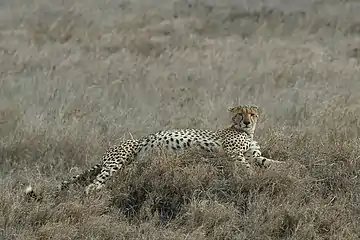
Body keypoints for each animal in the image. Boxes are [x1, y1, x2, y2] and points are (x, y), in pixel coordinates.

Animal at [26, 104, 282, 200]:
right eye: (240, 114)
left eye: (252, 114)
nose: (247, 122)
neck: (246, 133)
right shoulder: (234, 155)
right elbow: (248, 169)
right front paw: (254, 179)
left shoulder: (254, 155)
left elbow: (269, 161)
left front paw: (286, 167)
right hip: (118, 159)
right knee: (93, 184)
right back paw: (96, 193)